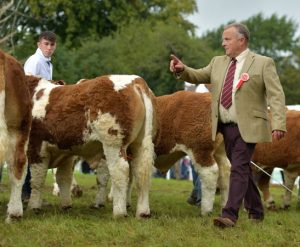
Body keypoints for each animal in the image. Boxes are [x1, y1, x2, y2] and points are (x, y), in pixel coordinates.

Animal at [25, 74, 157, 217]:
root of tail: (135, 81)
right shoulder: (65, 152)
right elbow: (63, 178)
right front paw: (66, 205)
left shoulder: (36, 147)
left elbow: (37, 179)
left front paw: (33, 206)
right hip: (140, 143)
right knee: (141, 171)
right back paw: (143, 212)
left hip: (113, 144)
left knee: (120, 171)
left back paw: (119, 212)